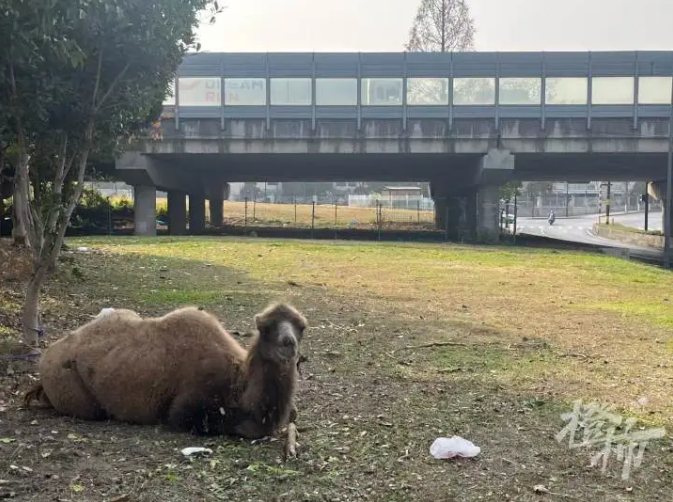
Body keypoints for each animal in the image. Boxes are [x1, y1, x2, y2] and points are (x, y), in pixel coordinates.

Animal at [23, 302, 308, 440]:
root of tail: (46, 357)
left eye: (301, 327)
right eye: (266, 327)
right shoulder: (187, 407)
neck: (238, 382)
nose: (288, 343)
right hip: (73, 392)